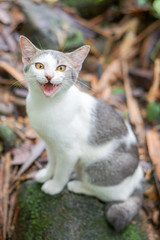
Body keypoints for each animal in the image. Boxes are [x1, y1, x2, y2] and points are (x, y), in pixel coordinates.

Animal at [19, 36, 143, 232]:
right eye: (39, 65)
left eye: (61, 68)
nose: (49, 76)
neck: (47, 107)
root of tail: (139, 177)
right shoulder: (50, 144)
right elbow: (53, 162)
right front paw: (45, 175)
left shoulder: (69, 153)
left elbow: (61, 172)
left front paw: (54, 186)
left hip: (97, 167)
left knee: (116, 195)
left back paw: (78, 185)